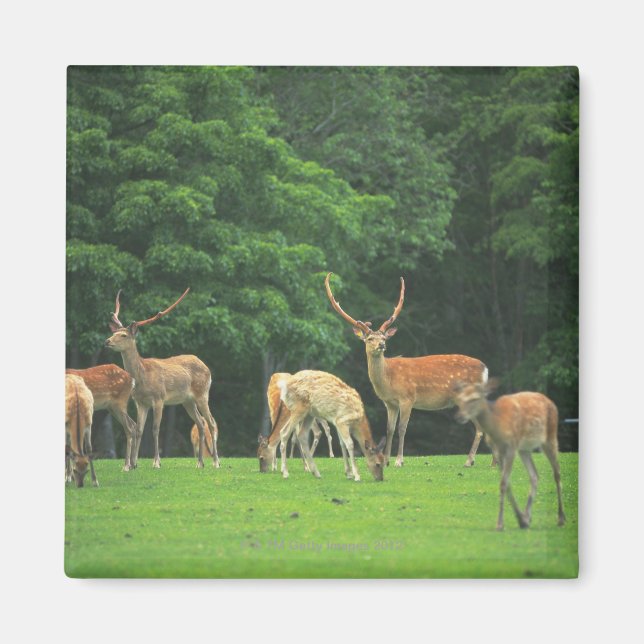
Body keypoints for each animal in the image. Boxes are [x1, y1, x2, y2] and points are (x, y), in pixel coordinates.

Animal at [105, 288, 220, 470]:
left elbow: (155, 428)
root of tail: (206, 366)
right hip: (187, 400)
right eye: (113, 333)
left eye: (123, 335)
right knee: (200, 423)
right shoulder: (140, 402)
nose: (107, 341)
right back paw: (200, 463)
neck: (143, 377)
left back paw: (216, 462)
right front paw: (134, 463)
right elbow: (139, 429)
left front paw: (156, 462)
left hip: (203, 393)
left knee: (211, 422)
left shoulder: (159, 398)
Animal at [325, 273, 490, 468]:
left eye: (383, 337)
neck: (388, 379)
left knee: (480, 427)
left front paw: (399, 460)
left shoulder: (407, 397)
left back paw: (469, 461)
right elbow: (389, 429)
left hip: (467, 396)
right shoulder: (389, 403)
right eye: (370, 339)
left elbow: (402, 428)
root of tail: (485, 368)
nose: (382, 345)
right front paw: (386, 460)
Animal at [452, 379, 566, 531]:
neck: (497, 425)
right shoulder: (501, 450)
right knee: (534, 475)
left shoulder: (511, 447)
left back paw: (561, 518)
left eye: (475, 398)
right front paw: (520, 520)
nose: (459, 416)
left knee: (557, 473)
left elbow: (503, 483)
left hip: (550, 437)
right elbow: (506, 483)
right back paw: (527, 517)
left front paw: (500, 524)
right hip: (524, 449)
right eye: (459, 398)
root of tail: (551, 403)